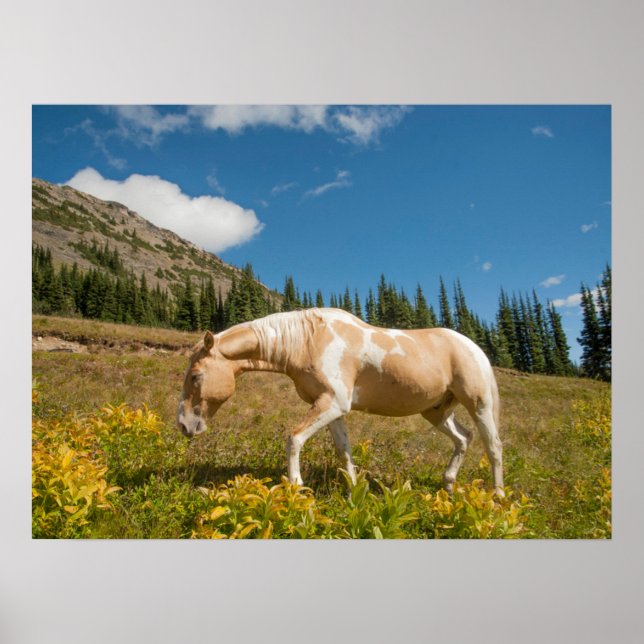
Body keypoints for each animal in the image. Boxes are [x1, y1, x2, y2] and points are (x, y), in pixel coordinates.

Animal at [177, 307, 504, 495]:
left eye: (195, 376)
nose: (184, 425)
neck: (309, 340)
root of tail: (474, 347)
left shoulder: (333, 403)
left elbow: (294, 438)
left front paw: (296, 486)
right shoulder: (332, 409)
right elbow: (343, 452)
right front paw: (353, 494)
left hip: (479, 404)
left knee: (493, 447)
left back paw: (498, 497)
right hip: (436, 411)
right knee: (463, 438)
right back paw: (448, 485)